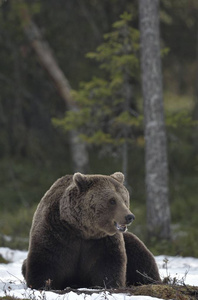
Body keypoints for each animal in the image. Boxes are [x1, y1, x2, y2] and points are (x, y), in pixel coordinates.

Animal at [22, 172, 161, 290]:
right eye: (112, 200)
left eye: (125, 199)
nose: (129, 216)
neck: (83, 230)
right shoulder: (56, 232)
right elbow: (46, 262)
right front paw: (44, 285)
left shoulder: (102, 242)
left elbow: (108, 265)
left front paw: (108, 284)